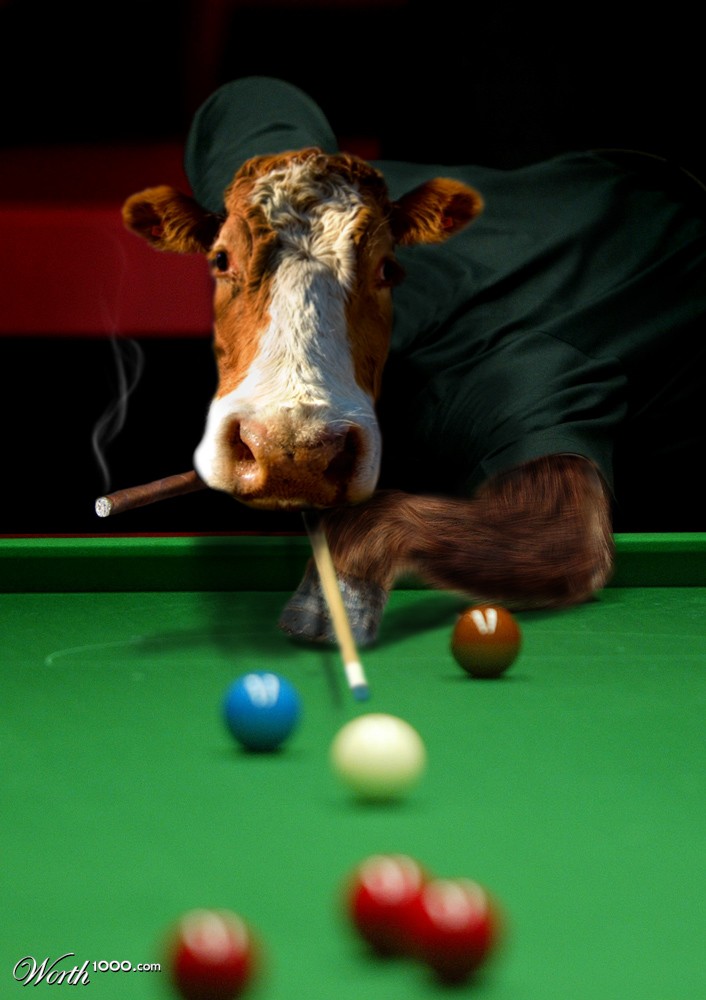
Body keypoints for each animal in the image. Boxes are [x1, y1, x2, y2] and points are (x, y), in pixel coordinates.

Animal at [121, 77, 705, 646]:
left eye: (385, 268)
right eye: (221, 260)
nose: (292, 453)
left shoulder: (537, 384)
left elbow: (558, 530)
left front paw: (339, 585)